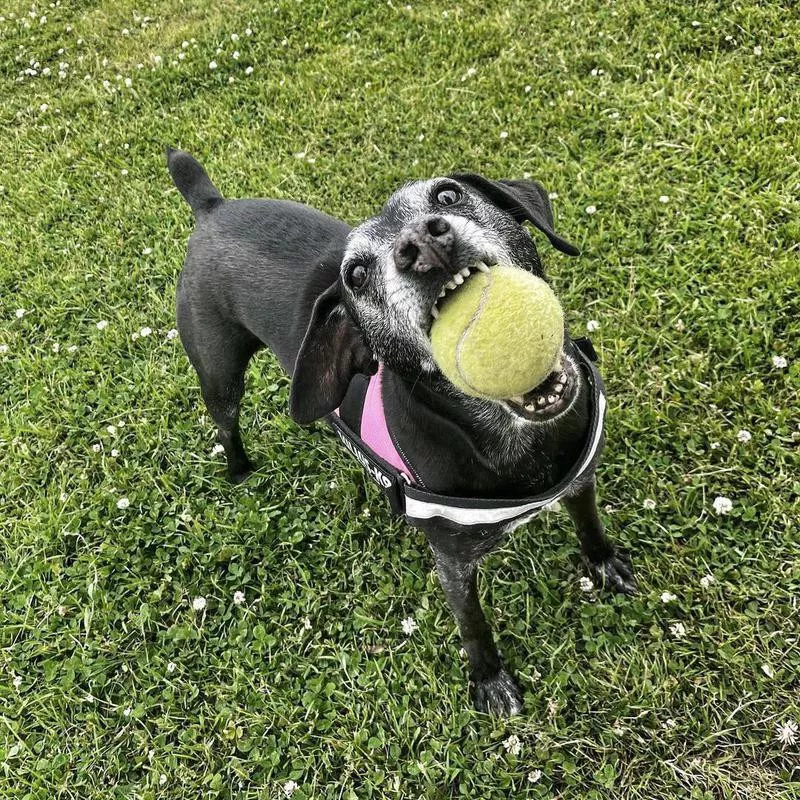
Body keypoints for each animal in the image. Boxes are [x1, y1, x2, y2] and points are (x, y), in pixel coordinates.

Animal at [166, 147, 636, 716]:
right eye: (357, 273)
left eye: (448, 194)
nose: (421, 244)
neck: (519, 439)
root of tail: (211, 206)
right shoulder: (454, 565)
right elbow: (474, 626)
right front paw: (490, 680)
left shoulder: (580, 479)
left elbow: (590, 525)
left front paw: (604, 564)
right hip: (219, 374)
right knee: (226, 423)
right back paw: (239, 471)